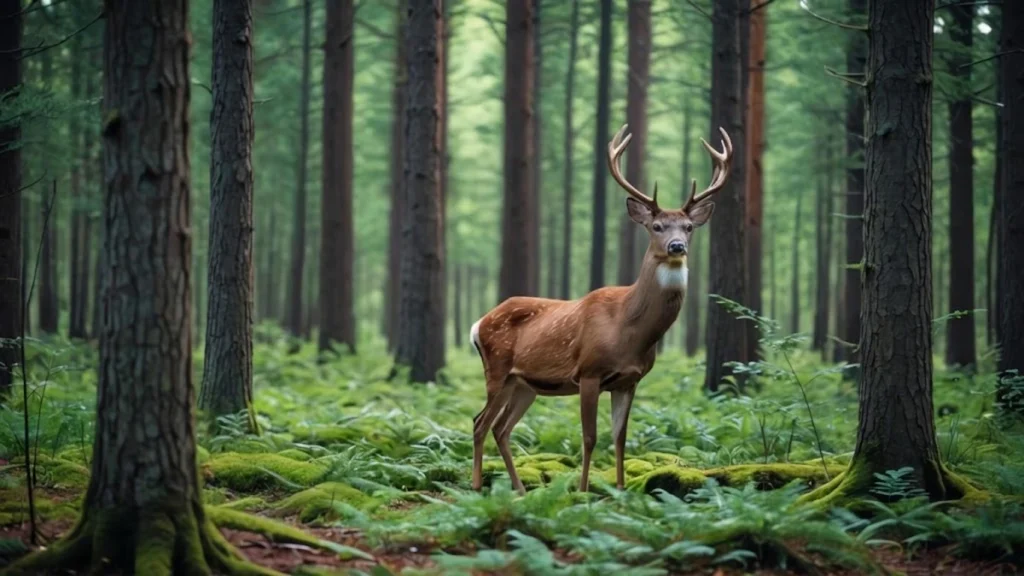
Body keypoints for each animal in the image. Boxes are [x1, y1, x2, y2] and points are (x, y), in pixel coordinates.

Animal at [469, 123, 734, 495]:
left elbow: (620, 438)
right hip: (497, 369)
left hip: (523, 384)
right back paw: (478, 487)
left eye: (689, 227)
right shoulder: (589, 372)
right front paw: (582, 492)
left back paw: (519, 490)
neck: (629, 329)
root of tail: (478, 323)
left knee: (500, 427)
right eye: (656, 226)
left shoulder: (629, 380)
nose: (676, 246)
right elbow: (590, 437)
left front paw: (620, 491)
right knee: (480, 422)